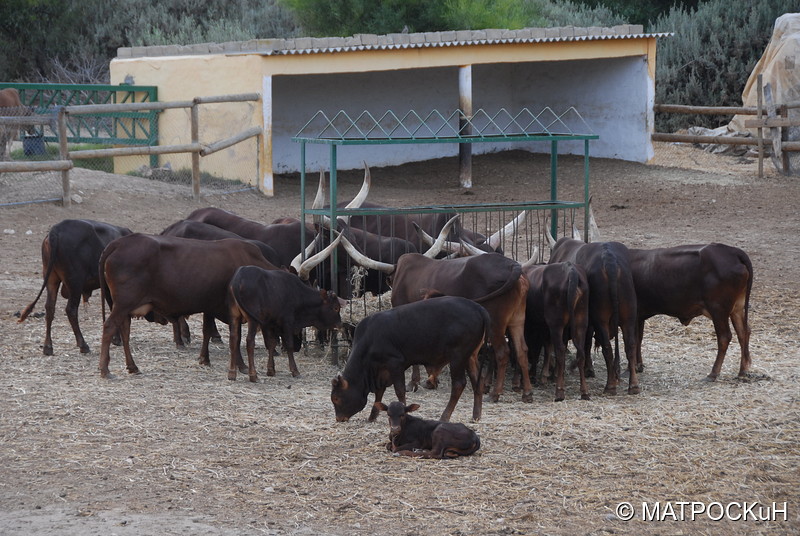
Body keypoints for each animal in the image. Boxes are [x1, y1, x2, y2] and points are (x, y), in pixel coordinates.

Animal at [330, 298, 490, 422]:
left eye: (336, 398)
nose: (339, 418)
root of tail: (477, 307)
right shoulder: (381, 371)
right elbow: (379, 393)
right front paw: (372, 416)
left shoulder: (395, 363)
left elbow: (399, 390)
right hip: (470, 356)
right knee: (478, 380)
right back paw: (476, 416)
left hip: (458, 357)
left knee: (459, 384)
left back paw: (445, 417)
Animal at [520, 260, 592, 402]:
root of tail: (570, 269)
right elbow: (547, 347)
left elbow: (537, 349)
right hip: (580, 322)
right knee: (580, 353)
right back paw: (584, 391)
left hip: (556, 324)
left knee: (560, 351)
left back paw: (559, 392)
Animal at [548, 237, 640, 396]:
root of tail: (609, 258)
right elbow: (587, 343)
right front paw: (588, 368)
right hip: (629, 316)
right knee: (630, 346)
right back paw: (633, 386)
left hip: (601, 318)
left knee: (607, 348)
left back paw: (610, 386)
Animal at [628, 243, 752, 382]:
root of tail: (732, 251)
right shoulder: (639, 316)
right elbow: (638, 339)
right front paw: (638, 366)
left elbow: (632, 340)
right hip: (737, 308)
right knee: (743, 333)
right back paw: (742, 371)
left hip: (718, 310)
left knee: (725, 337)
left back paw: (713, 373)